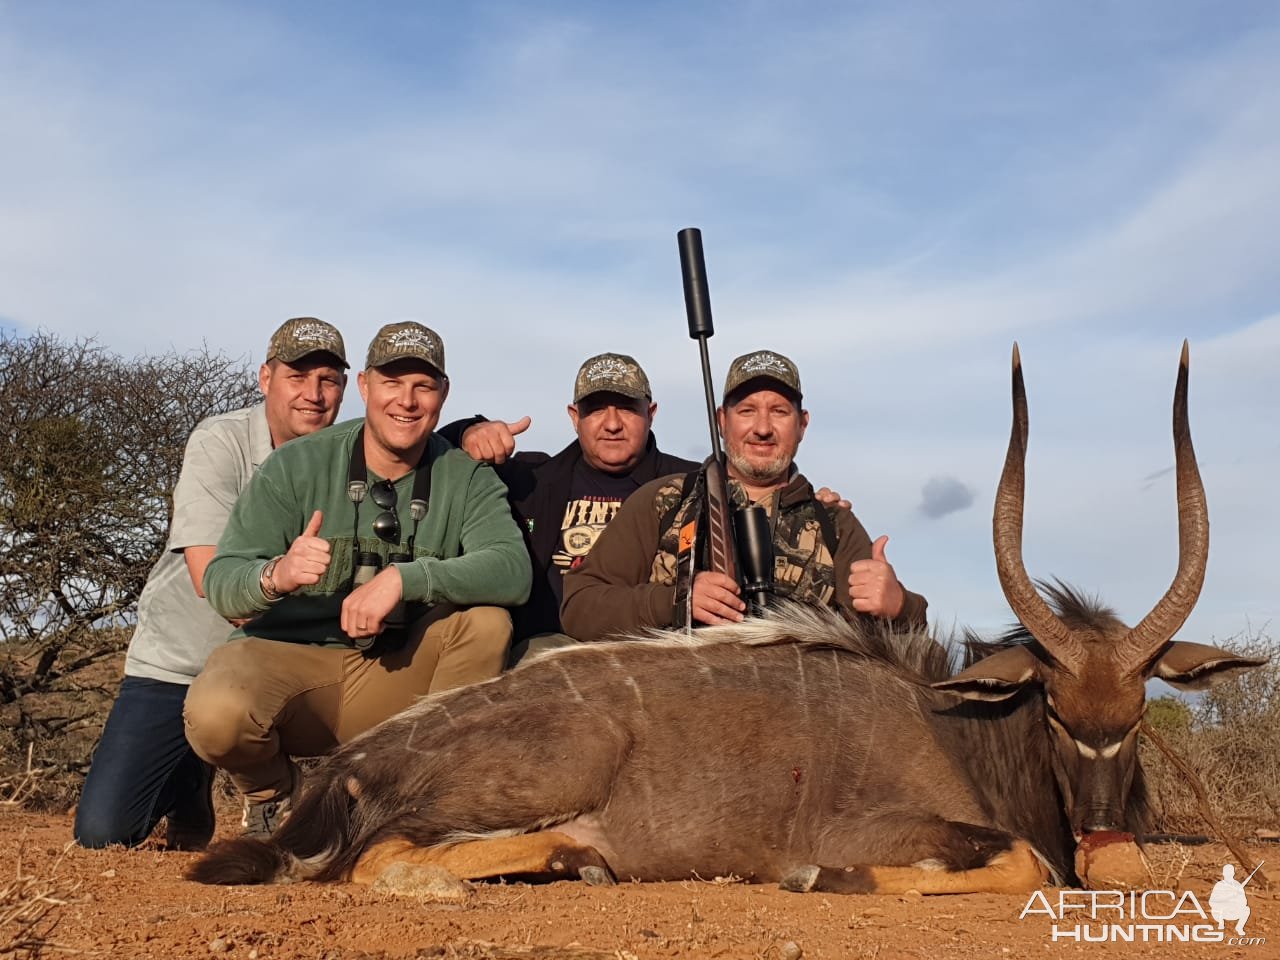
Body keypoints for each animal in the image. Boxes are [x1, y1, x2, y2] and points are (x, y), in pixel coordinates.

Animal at [186, 343, 1259, 896]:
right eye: (1059, 715)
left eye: (1136, 718)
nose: (1110, 843)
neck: (958, 727)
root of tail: (355, 764)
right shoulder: (893, 829)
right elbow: (1018, 863)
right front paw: (828, 881)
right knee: (380, 861)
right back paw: (577, 858)